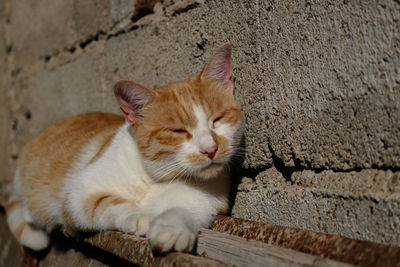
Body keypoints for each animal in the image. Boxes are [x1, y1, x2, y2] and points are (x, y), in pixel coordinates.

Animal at [5, 43, 244, 253]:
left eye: (218, 119)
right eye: (178, 131)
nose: (210, 149)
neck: (157, 177)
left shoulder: (204, 204)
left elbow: (181, 212)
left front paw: (171, 230)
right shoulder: (78, 193)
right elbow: (109, 203)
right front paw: (140, 217)